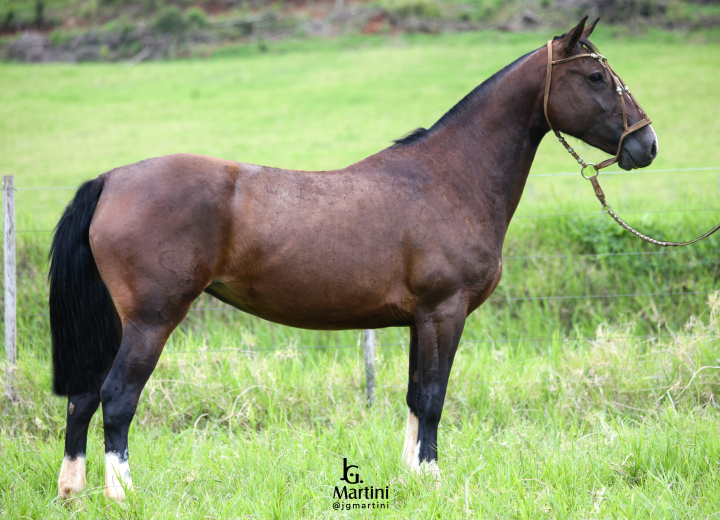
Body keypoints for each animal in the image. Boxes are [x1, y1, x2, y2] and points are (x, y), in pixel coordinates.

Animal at [49, 18, 660, 502]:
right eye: (595, 78)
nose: (646, 145)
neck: (449, 177)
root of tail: (111, 180)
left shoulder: (420, 320)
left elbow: (414, 395)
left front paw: (412, 477)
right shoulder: (444, 312)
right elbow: (433, 397)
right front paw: (432, 479)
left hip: (118, 323)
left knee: (83, 397)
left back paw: (73, 490)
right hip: (151, 321)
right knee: (116, 398)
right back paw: (122, 493)